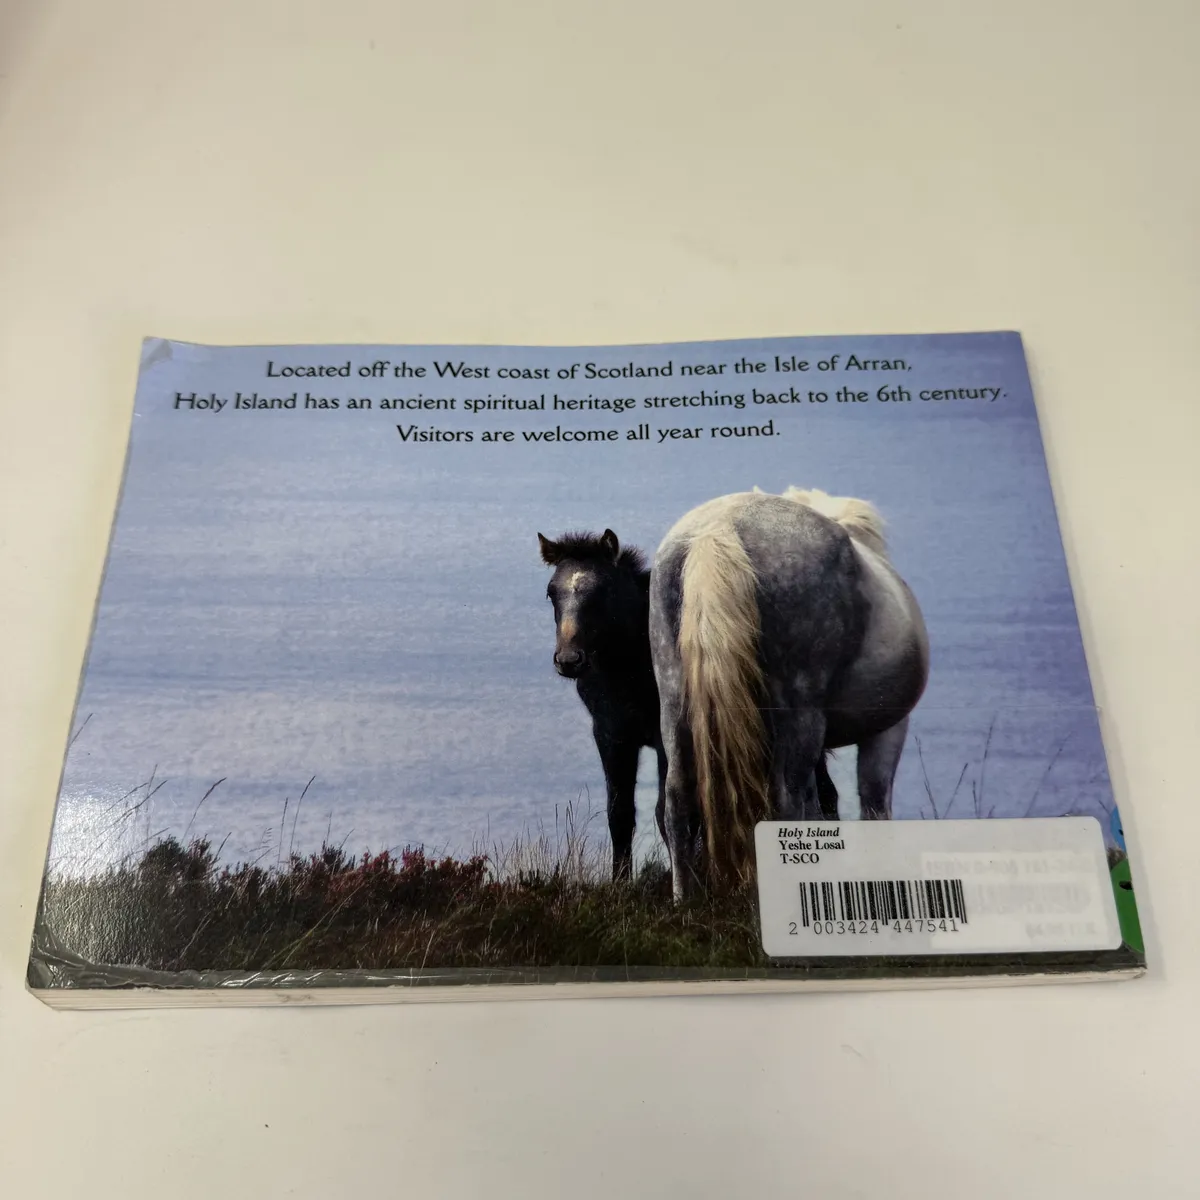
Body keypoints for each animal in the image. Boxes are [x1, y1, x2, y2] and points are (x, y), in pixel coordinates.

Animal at [537, 528, 667, 881]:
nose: (569, 660)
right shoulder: (611, 734)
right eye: (551, 592)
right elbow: (619, 814)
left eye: (603, 589)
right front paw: (620, 883)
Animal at [648, 487, 929, 898]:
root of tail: (719, 527)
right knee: (787, 802)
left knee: (677, 800)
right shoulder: (888, 730)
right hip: (801, 713)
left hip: (674, 701)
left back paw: (685, 900)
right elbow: (873, 805)